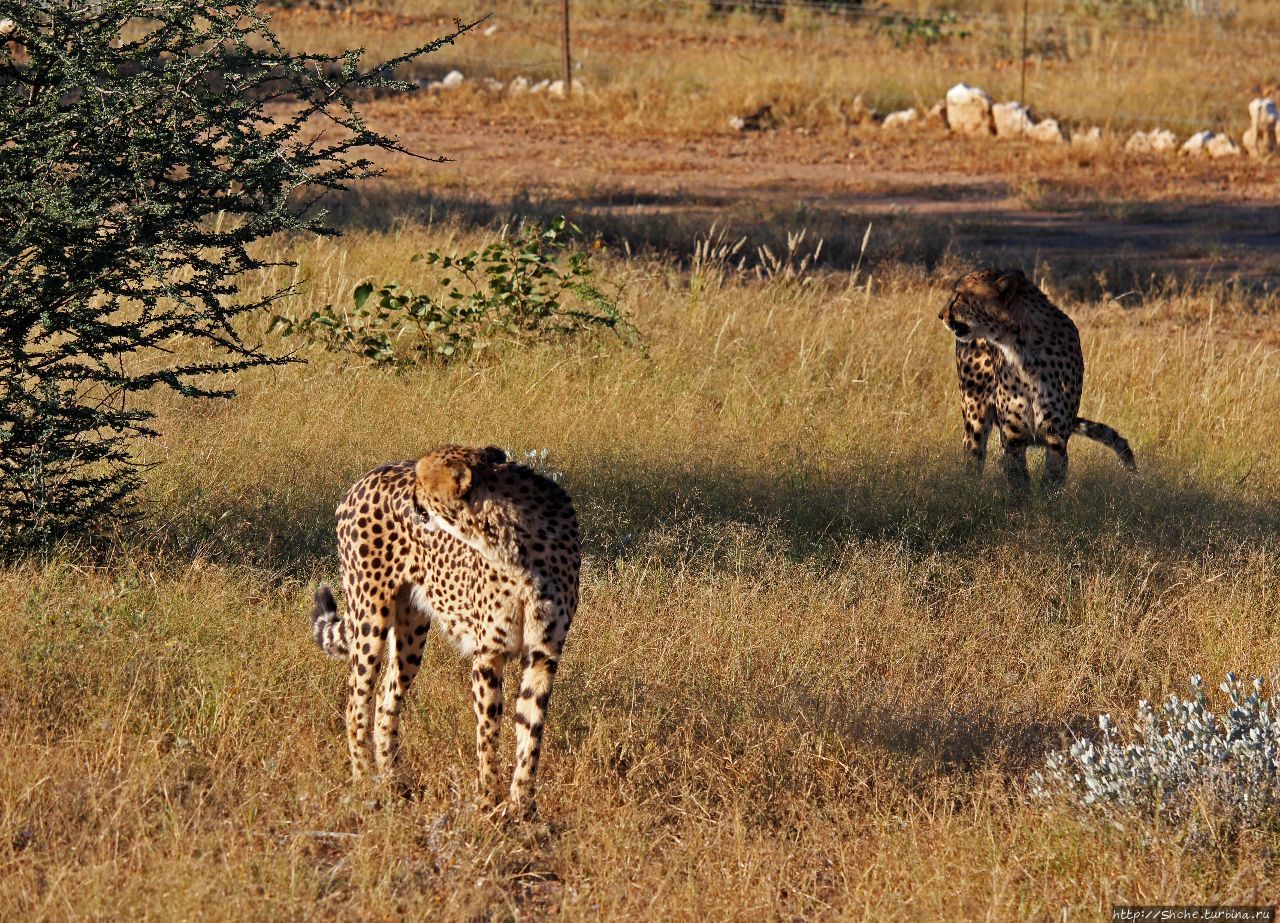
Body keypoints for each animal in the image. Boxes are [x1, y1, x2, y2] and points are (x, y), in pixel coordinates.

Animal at [312, 445, 583, 814]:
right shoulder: (489, 653)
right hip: (371, 617)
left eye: (423, 481)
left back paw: (394, 781)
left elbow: (531, 731)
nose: (411, 502)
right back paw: (366, 781)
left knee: (386, 698)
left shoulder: (544, 654)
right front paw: (488, 800)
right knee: (357, 700)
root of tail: (364, 478)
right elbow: (488, 731)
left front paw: (523, 806)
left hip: (411, 631)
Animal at [936, 268, 1136, 489]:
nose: (941, 315)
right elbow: (1019, 484)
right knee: (973, 456)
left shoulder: (1056, 439)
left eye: (959, 295)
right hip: (974, 414)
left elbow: (1050, 484)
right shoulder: (1013, 440)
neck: (1020, 346)